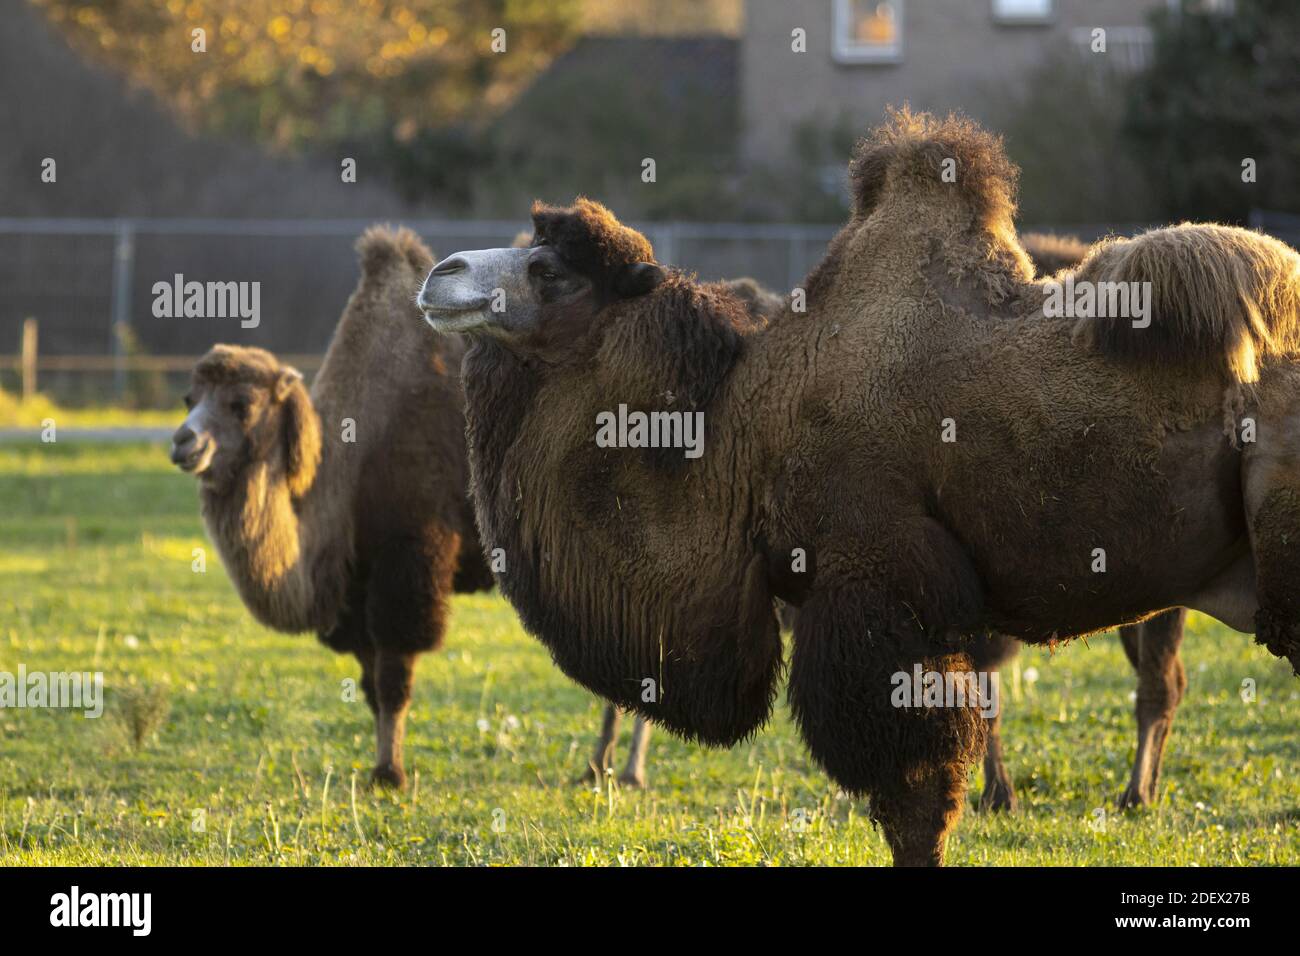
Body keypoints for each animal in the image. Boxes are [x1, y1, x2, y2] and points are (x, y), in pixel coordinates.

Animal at [170, 226, 492, 788]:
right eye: (190, 398)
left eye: (242, 404)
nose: (183, 443)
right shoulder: (355, 588)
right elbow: (369, 686)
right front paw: (381, 765)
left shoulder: (410, 556)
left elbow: (393, 680)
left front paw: (390, 774)